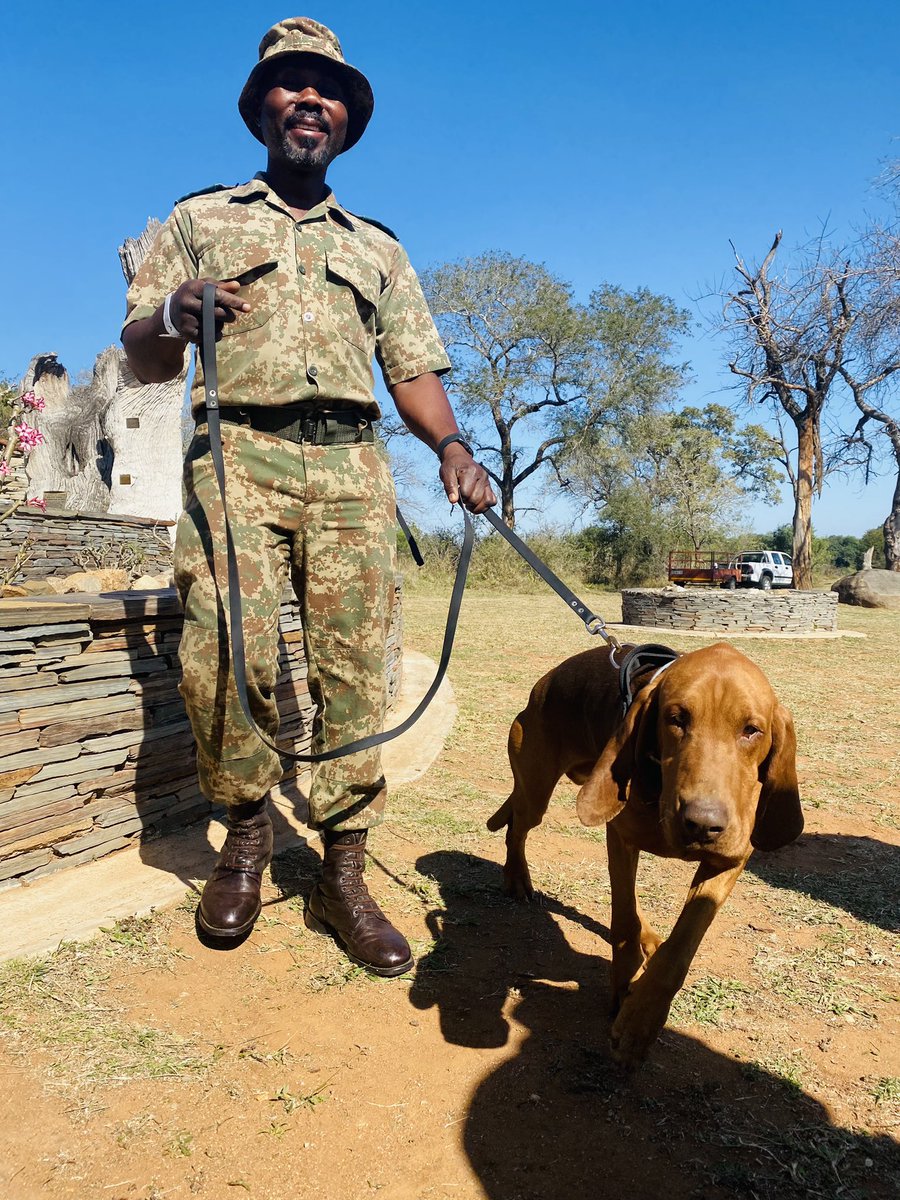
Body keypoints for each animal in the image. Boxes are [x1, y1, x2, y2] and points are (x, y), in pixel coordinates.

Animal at [487, 643, 801, 1065]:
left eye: (752, 730)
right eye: (676, 719)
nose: (702, 825)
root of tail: (543, 684)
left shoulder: (729, 861)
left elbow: (679, 947)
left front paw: (641, 1020)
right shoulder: (620, 837)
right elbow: (622, 924)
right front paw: (625, 998)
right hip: (536, 791)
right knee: (517, 828)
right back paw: (517, 876)